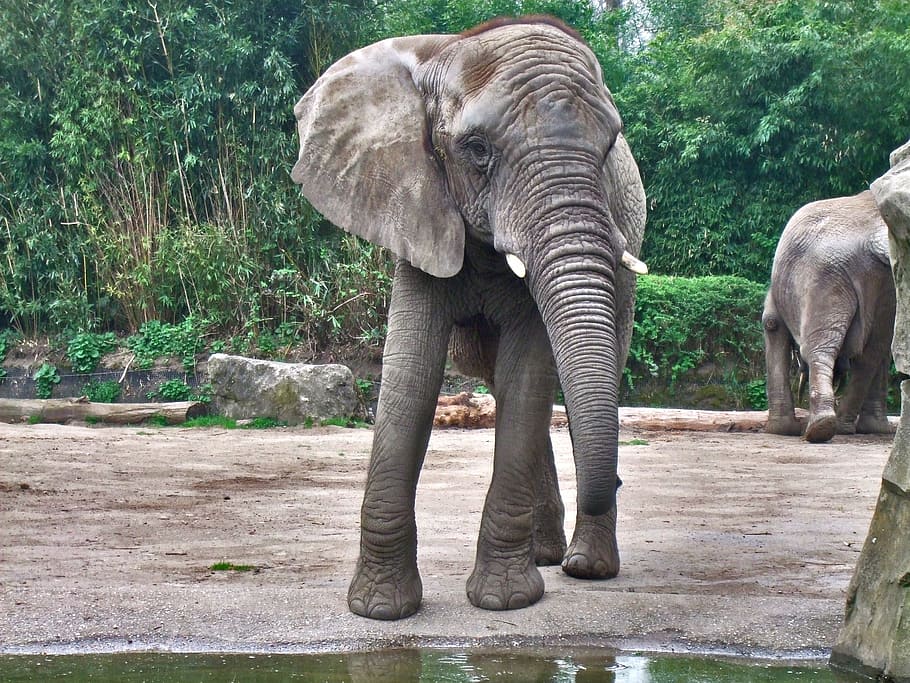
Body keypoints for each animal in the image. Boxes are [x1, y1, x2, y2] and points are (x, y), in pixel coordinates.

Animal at [291, 16, 647, 619]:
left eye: (606, 148)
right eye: (476, 149)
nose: (619, 484)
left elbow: (528, 371)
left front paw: (505, 601)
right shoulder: (414, 205)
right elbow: (410, 377)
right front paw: (381, 609)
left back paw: (584, 567)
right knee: (502, 382)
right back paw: (548, 555)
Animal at [762, 190, 896, 443]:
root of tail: (872, 241)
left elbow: (772, 325)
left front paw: (781, 430)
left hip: (823, 274)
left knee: (822, 348)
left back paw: (824, 428)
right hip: (862, 276)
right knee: (871, 353)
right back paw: (834, 426)